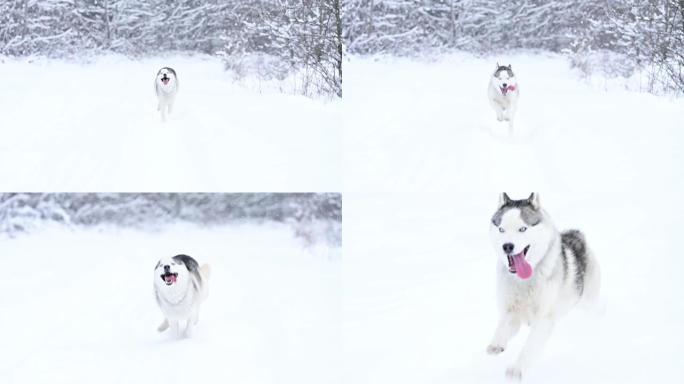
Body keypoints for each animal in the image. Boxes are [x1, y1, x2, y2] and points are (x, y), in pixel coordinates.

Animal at [486, 194, 600, 380]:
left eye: (522, 229)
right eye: (501, 229)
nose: (507, 246)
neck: (525, 281)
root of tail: (575, 235)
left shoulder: (544, 320)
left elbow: (529, 347)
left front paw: (516, 369)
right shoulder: (511, 313)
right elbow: (502, 327)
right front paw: (496, 345)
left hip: (588, 303)